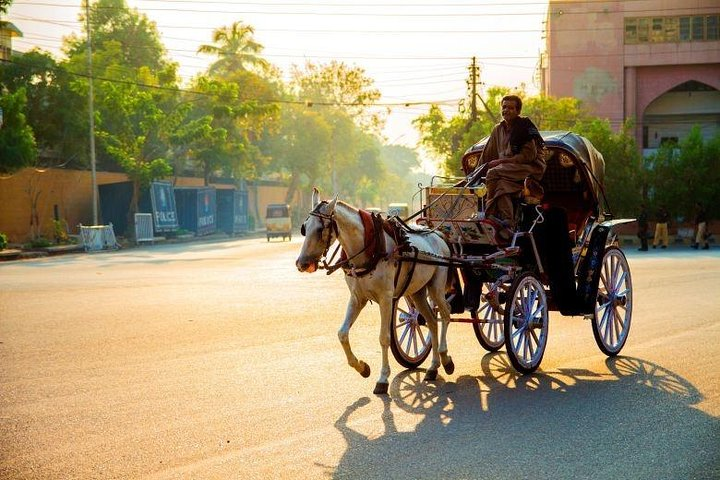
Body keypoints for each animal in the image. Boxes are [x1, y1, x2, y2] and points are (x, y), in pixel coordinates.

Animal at [294, 189, 452, 396]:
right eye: (304, 228)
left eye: (320, 229)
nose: (302, 263)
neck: (369, 247)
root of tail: (438, 234)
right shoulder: (357, 298)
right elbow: (342, 334)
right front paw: (362, 367)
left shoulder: (386, 298)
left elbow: (384, 338)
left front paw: (383, 378)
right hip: (416, 291)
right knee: (432, 321)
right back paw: (433, 367)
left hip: (436, 287)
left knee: (445, 313)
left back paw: (446, 358)